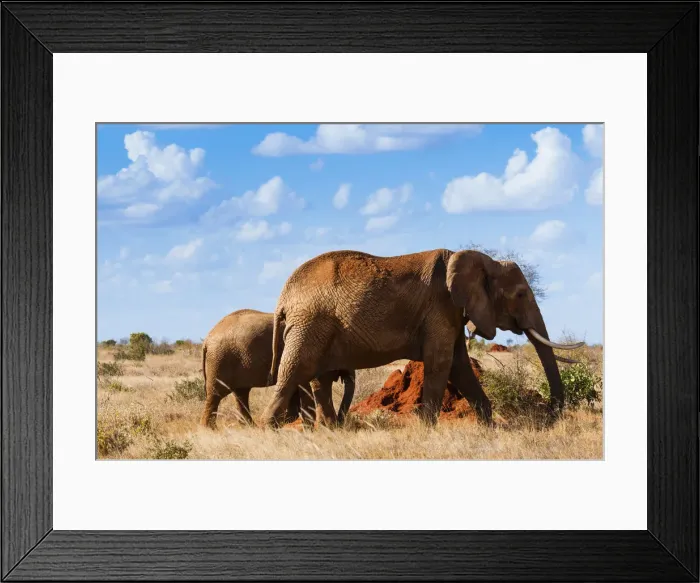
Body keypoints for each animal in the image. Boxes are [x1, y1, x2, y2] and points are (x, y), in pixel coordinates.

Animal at [200, 309, 355, 429]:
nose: (341, 422)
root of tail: (206, 340)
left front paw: (287, 420)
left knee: (241, 393)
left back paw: (250, 427)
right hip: (220, 360)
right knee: (216, 394)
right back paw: (209, 429)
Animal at [262, 249, 582, 427]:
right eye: (520, 295)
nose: (552, 414)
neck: (481, 260)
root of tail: (283, 297)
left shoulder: (451, 312)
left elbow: (459, 366)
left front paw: (489, 427)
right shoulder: (440, 307)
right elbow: (441, 363)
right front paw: (427, 428)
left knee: (319, 379)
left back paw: (329, 431)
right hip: (309, 324)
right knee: (293, 373)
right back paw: (269, 429)